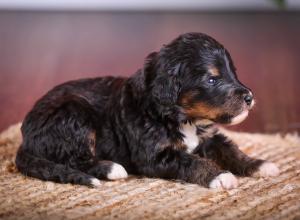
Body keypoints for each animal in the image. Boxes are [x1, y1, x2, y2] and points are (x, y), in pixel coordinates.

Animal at [15, 32, 278, 189]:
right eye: (212, 79)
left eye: (233, 73)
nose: (249, 97)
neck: (183, 119)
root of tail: (25, 135)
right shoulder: (154, 155)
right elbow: (191, 161)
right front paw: (220, 176)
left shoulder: (209, 138)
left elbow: (230, 150)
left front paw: (259, 164)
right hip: (74, 114)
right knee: (74, 158)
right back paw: (111, 168)